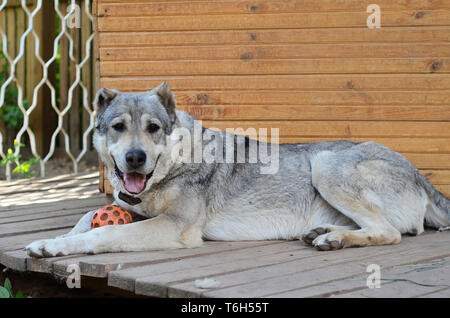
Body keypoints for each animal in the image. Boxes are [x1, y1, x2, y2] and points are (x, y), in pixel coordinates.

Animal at [25, 80, 450, 258]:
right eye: (117, 127)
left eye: (153, 128)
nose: (135, 158)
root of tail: (423, 177)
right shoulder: (128, 205)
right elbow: (84, 220)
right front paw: (50, 241)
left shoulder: (174, 227)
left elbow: (103, 234)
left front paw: (60, 247)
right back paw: (324, 232)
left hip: (325, 165)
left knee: (390, 232)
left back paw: (335, 240)